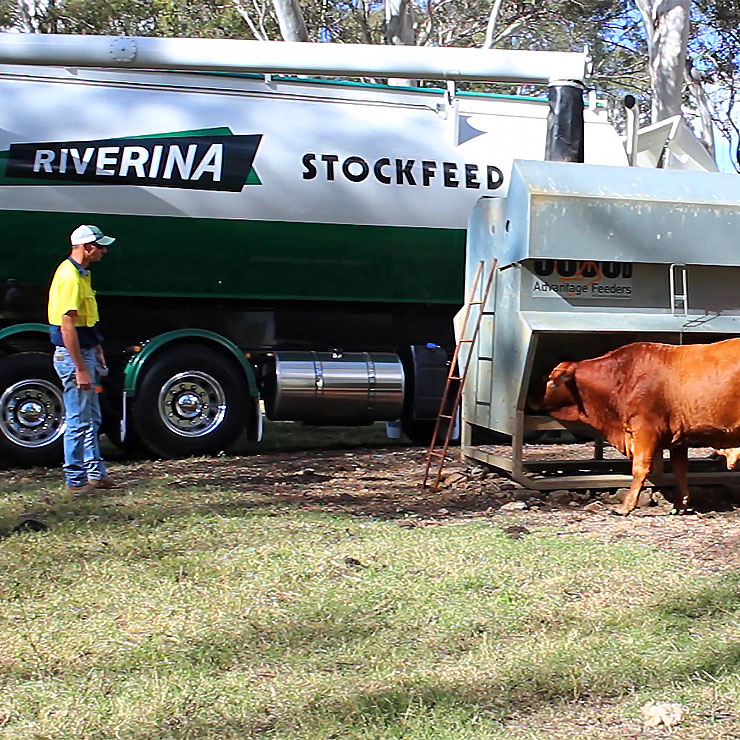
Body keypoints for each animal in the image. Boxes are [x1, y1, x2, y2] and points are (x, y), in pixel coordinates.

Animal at [536, 336, 740, 516]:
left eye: (553, 383)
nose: (537, 403)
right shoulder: (679, 436)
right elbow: (680, 468)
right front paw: (680, 505)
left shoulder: (645, 429)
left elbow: (640, 467)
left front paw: (626, 506)